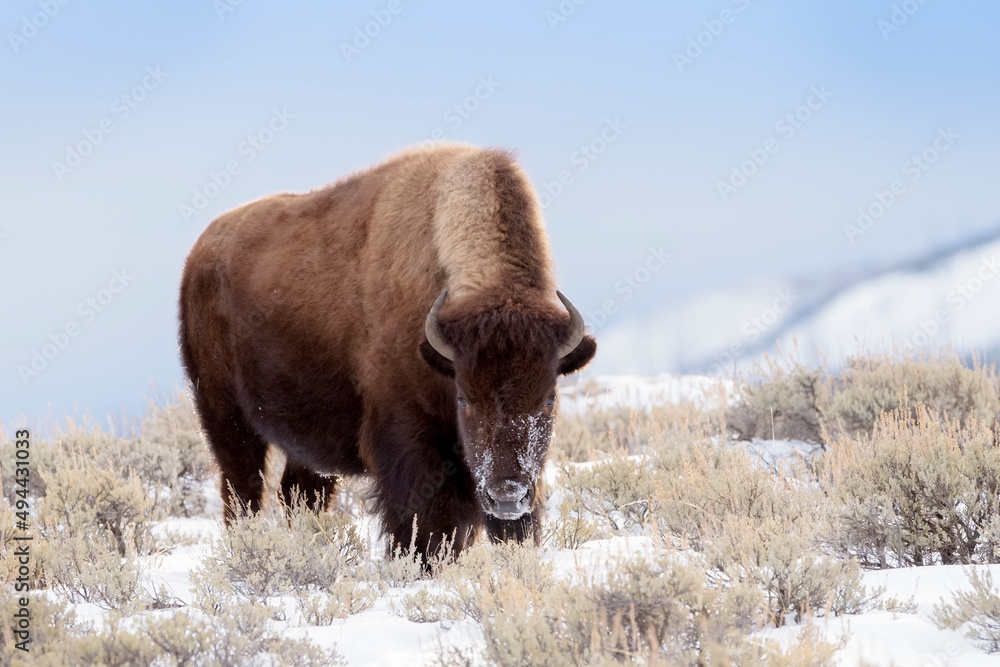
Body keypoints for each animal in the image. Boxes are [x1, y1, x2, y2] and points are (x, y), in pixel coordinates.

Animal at [180, 144, 596, 556]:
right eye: (465, 400)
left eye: (549, 399)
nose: (507, 497)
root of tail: (199, 254)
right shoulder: (410, 438)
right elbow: (425, 524)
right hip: (224, 416)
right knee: (242, 490)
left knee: (297, 494)